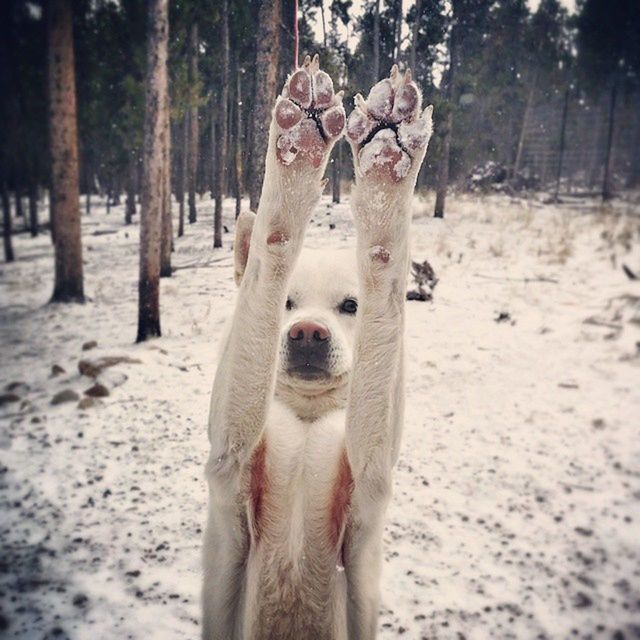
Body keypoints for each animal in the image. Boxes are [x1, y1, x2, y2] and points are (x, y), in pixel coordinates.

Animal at [204, 56, 436, 640]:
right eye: (289, 304)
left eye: (350, 306)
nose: (307, 332)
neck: (308, 417)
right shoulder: (230, 466)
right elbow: (270, 249)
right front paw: (296, 154)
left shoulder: (368, 485)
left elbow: (384, 267)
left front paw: (386, 165)